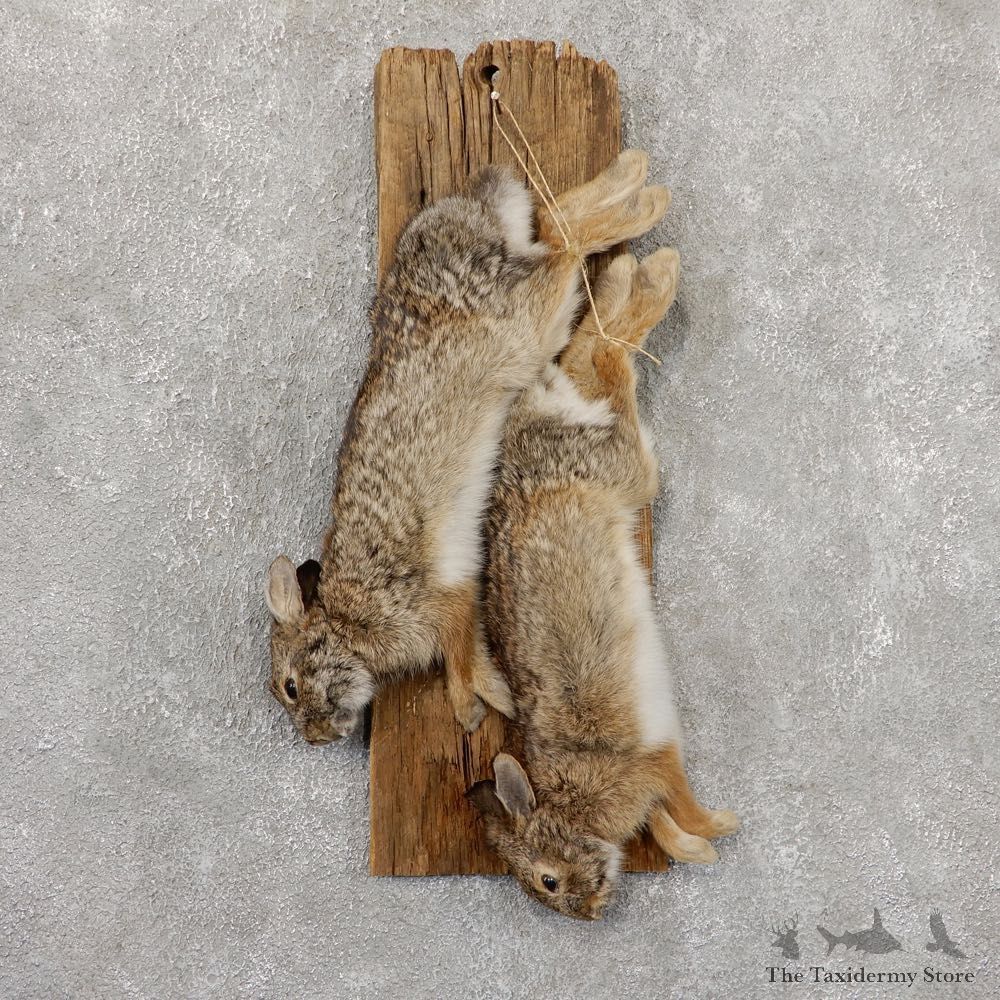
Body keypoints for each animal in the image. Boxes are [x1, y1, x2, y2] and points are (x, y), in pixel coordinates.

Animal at [264, 151, 671, 744]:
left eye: (291, 686)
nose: (319, 737)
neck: (345, 625)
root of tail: (469, 214)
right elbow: (471, 657)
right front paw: (493, 701)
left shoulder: (435, 601)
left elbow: (459, 658)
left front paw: (471, 709)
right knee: (553, 230)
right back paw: (637, 194)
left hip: (523, 324)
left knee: (564, 248)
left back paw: (647, 216)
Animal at [468, 249, 741, 920]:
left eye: (546, 880)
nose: (590, 914)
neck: (573, 807)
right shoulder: (649, 783)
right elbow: (665, 823)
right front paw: (700, 850)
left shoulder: (653, 761)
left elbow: (681, 801)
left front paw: (721, 828)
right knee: (596, 356)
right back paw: (633, 277)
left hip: (624, 468)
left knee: (616, 373)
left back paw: (652, 277)